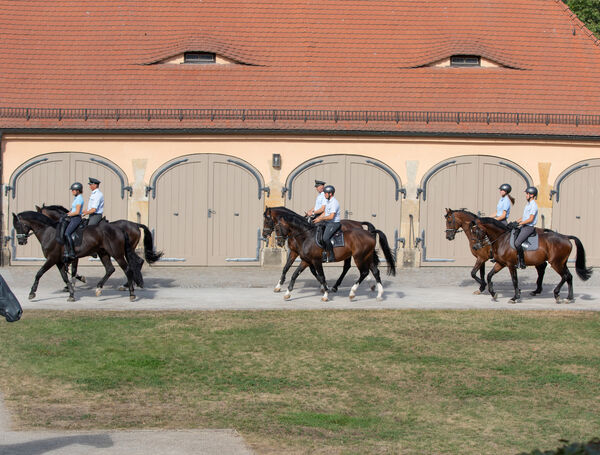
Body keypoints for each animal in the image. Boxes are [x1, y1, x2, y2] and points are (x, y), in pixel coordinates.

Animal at [12, 213, 144, 304]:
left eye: (18, 225)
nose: (21, 241)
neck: (49, 232)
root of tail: (120, 229)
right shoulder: (59, 261)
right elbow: (65, 276)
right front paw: (71, 294)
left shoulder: (52, 259)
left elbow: (39, 273)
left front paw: (32, 293)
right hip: (104, 253)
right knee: (110, 269)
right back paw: (99, 288)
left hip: (117, 254)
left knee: (128, 269)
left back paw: (131, 293)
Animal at [262, 208, 394, 302]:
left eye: (269, 222)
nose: (279, 242)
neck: (306, 236)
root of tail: (369, 232)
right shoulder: (305, 259)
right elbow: (293, 273)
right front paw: (286, 292)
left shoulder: (315, 261)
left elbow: (321, 276)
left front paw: (325, 293)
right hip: (367, 256)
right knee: (375, 271)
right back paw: (379, 294)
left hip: (359, 257)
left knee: (363, 272)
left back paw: (351, 292)